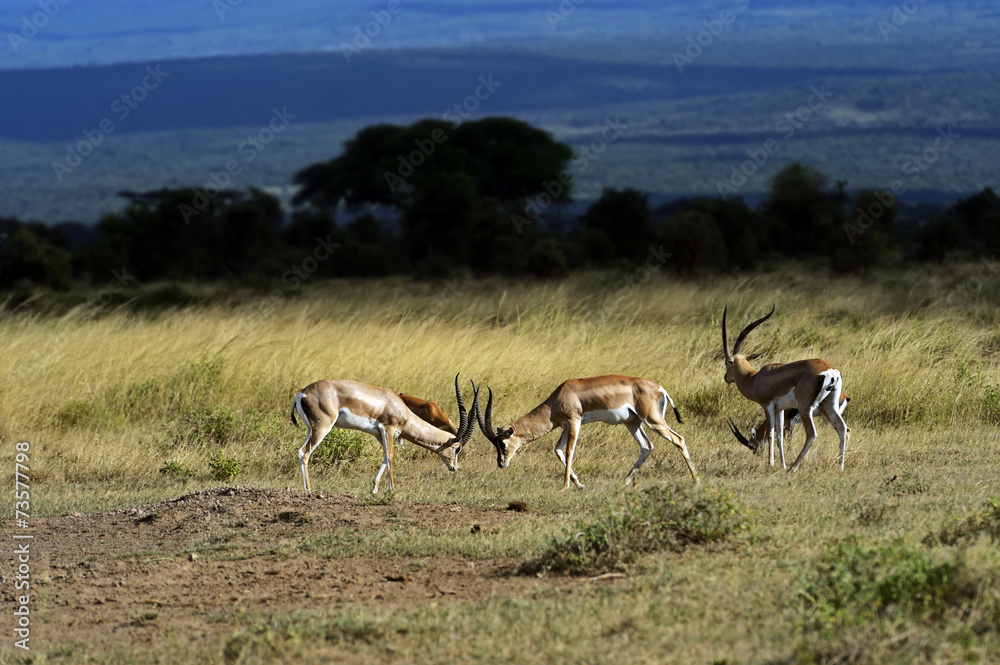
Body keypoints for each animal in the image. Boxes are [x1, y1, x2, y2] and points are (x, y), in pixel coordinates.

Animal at [290, 374, 474, 494]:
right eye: (457, 449)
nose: (455, 467)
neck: (399, 408)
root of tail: (301, 393)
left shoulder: (379, 434)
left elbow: (385, 456)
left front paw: (374, 488)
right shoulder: (389, 429)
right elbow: (391, 456)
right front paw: (392, 490)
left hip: (311, 429)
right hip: (322, 427)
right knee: (303, 452)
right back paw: (309, 490)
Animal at [472, 375, 698, 490]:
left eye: (502, 443)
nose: (501, 463)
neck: (559, 399)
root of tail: (660, 388)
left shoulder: (574, 423)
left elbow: (569, 451)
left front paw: (564, 487)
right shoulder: (565, 426)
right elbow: (558, 451)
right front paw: (579, 485)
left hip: (653, 421)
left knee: (679, 439)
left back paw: (697, 480)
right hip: (633, 423)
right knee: (646, 447)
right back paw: (625, 482)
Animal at [721, 304, 850, 471]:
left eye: (727, 362)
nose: (726, 377)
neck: (754, 378)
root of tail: (830, 370)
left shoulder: (768, 405)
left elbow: (770, 433)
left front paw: (771, 463)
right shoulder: (780, 409)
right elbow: (779, 436)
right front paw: (781, 465)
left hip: (805, 408)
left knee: (812, 434)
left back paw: (793, 467)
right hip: (829, 406)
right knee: (842, 428)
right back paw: (840, 468)